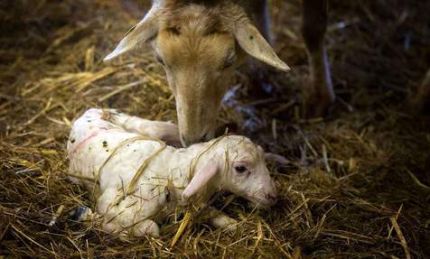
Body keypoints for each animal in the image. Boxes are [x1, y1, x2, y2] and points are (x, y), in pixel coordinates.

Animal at [66, 108, 278, 239]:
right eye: (241, 168)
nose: (273, 196)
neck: (172, 171)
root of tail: (86, 114)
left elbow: (214, 213)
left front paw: (233, 224)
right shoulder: (112, 205)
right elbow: (151, 228)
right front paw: (102, 223)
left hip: (149, 126)